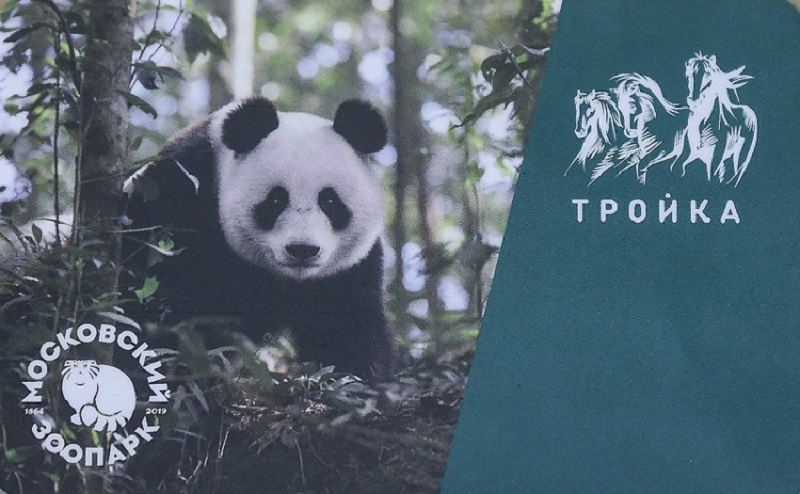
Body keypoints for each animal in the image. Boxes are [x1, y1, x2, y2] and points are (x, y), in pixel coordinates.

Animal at [123, 97, 397, 381]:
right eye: (276, 200)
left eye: (329, 201)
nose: (302, 249)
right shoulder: (177, 194)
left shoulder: (348, 271)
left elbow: (349, 328)